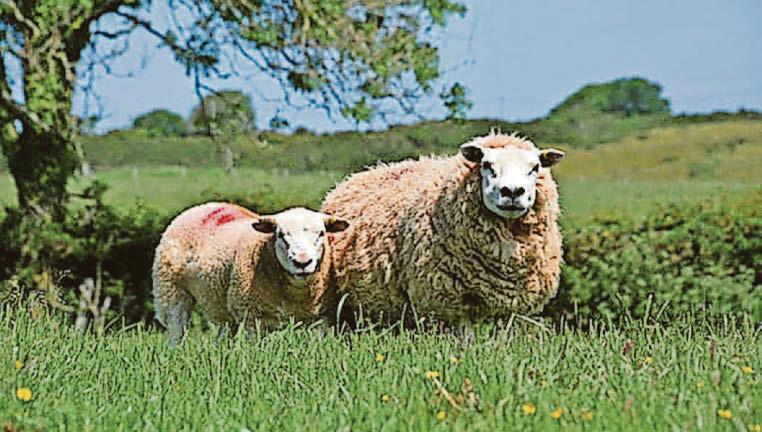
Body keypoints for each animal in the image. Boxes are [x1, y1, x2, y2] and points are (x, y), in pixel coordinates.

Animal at [152, 202, 349, 346]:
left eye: (321, 234)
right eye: (281, 235)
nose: (302, 262)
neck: (295, 294)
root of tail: (200, 208)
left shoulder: (320, 319)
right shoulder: (251, 318)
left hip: (220, 304)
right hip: (171, 292)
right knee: (176, 328)